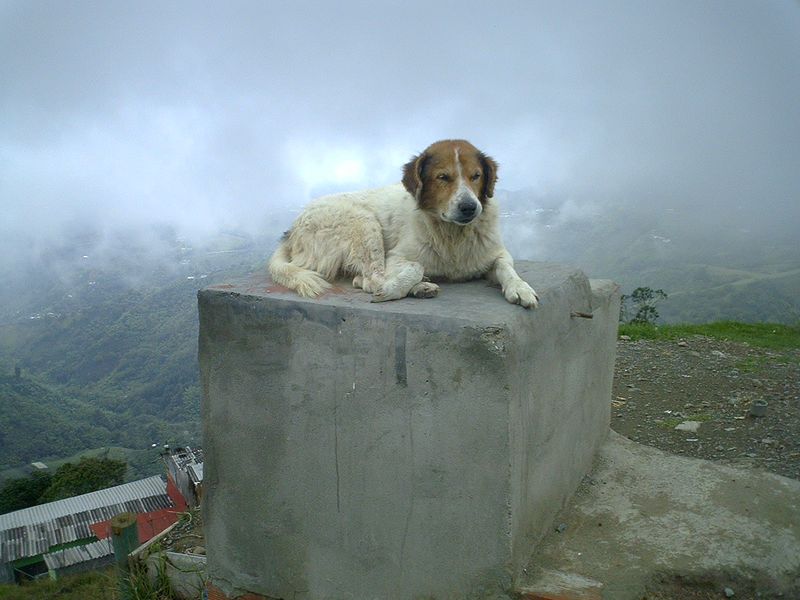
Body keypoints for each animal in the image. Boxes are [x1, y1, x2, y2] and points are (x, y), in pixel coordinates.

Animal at [268, 140, 536, 308]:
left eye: (476, 176)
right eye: (443, 177)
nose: (469, 207)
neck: (453, 236)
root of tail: (291, 231)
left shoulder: (496, 252)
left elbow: (506, 267)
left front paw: (520, 288)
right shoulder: (397, 257)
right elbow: (414, 266)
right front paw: (397, 286)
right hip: (363, 223)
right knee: (369, 278)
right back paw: (417, 286)